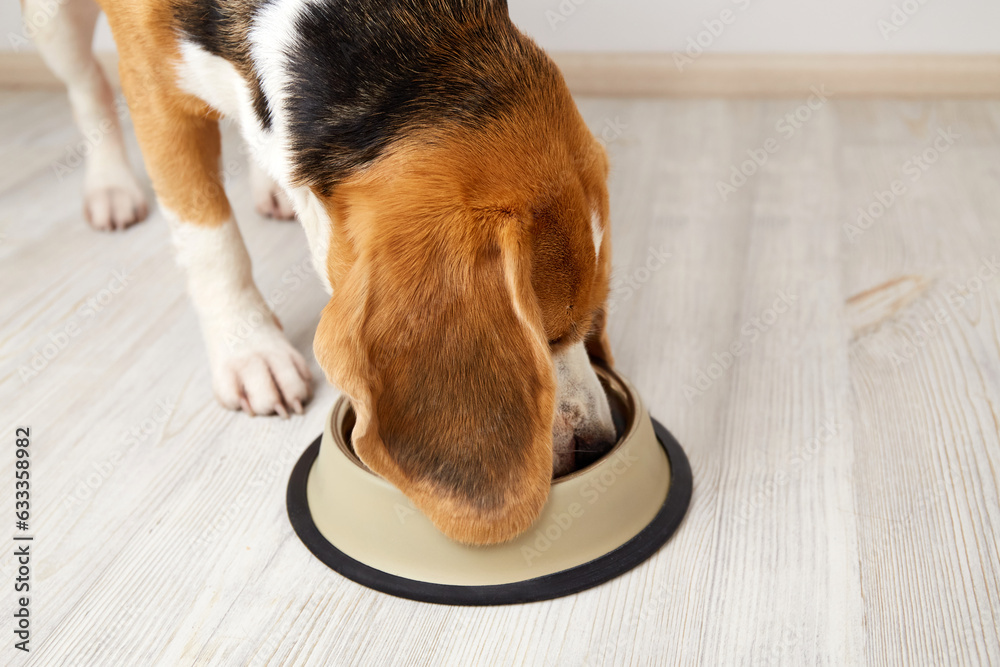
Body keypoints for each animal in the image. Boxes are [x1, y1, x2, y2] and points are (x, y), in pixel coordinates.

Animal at [29, 0, 616, 544]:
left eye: (589, 321)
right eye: (548, 333)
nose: (600, 445)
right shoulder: (153, 88)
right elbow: (210, 237)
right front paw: (249, 349)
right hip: (53, 24)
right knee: (88, 87)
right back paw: (110, 186)